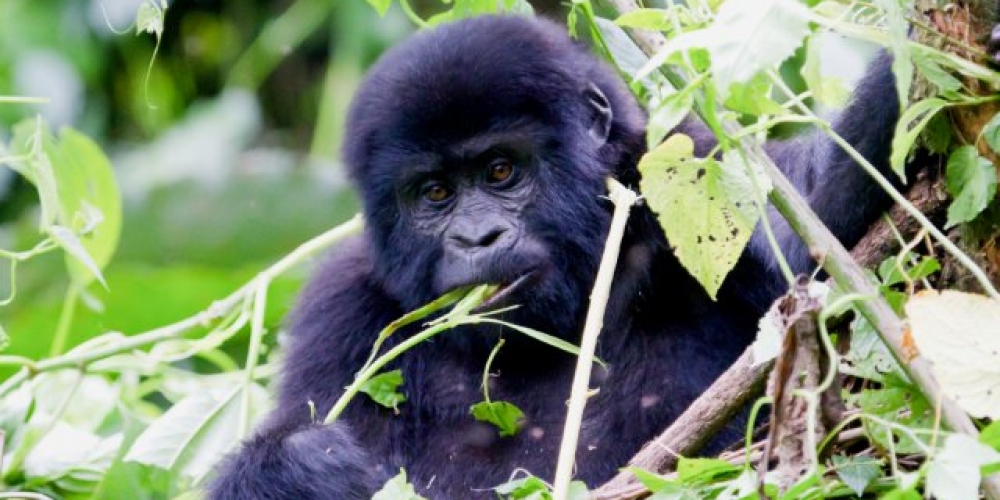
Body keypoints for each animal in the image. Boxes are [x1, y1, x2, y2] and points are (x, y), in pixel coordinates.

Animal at [211, 13, 992, 498]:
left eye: (501, 171)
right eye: (434, 193)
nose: (476, 240)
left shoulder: (696, 177)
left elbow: (830, 233)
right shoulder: (343, 310)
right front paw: (301, 468)